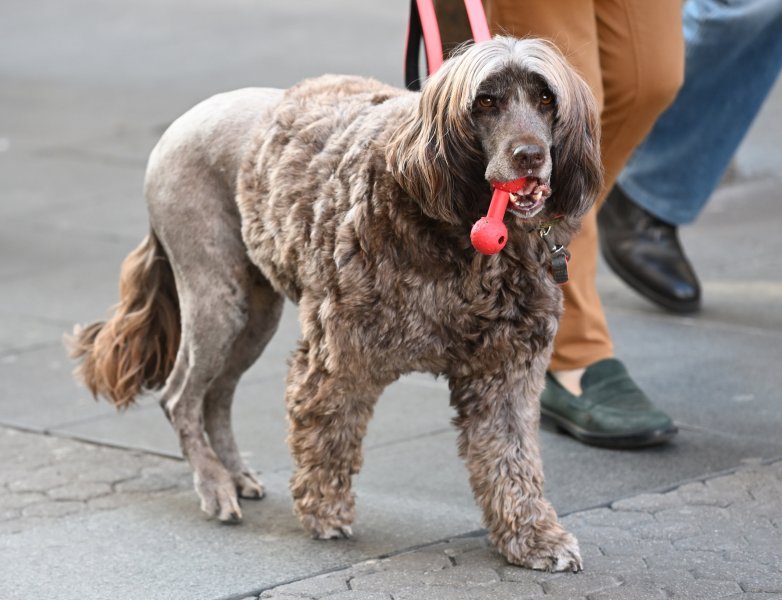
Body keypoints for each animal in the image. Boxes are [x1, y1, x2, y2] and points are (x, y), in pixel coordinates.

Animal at [69, 37, 608, 572]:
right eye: (487, 102)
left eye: (545, 99)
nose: (530, 156)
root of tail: (179, 125)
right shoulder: (340, 355)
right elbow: (329, 432)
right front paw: (324, 511)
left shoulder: (506, 370)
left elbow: (512, 459)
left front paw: (533, 538)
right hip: (216, 297)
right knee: (180, 396)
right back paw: (214, 484)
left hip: (255, 316)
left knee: (216, 395)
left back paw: (235, 473)